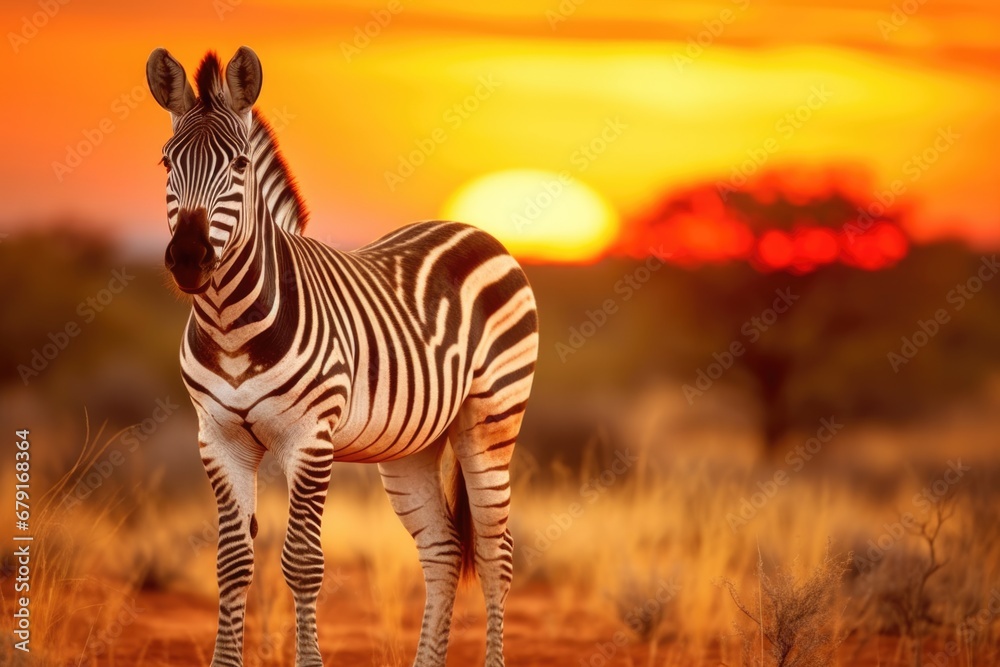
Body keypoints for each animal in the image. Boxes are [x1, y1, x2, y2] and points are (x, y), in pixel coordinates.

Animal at [145, 46, 538, 667]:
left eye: (239, 165)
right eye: (166, 163)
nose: (188, 259)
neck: (231, 327)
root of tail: (473, 228)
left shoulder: (310, 438)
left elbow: (303, 563)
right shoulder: (217, 438)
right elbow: (231, 564)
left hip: (492, 417)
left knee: (496, 551)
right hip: (413, 444)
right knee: (444, 549)